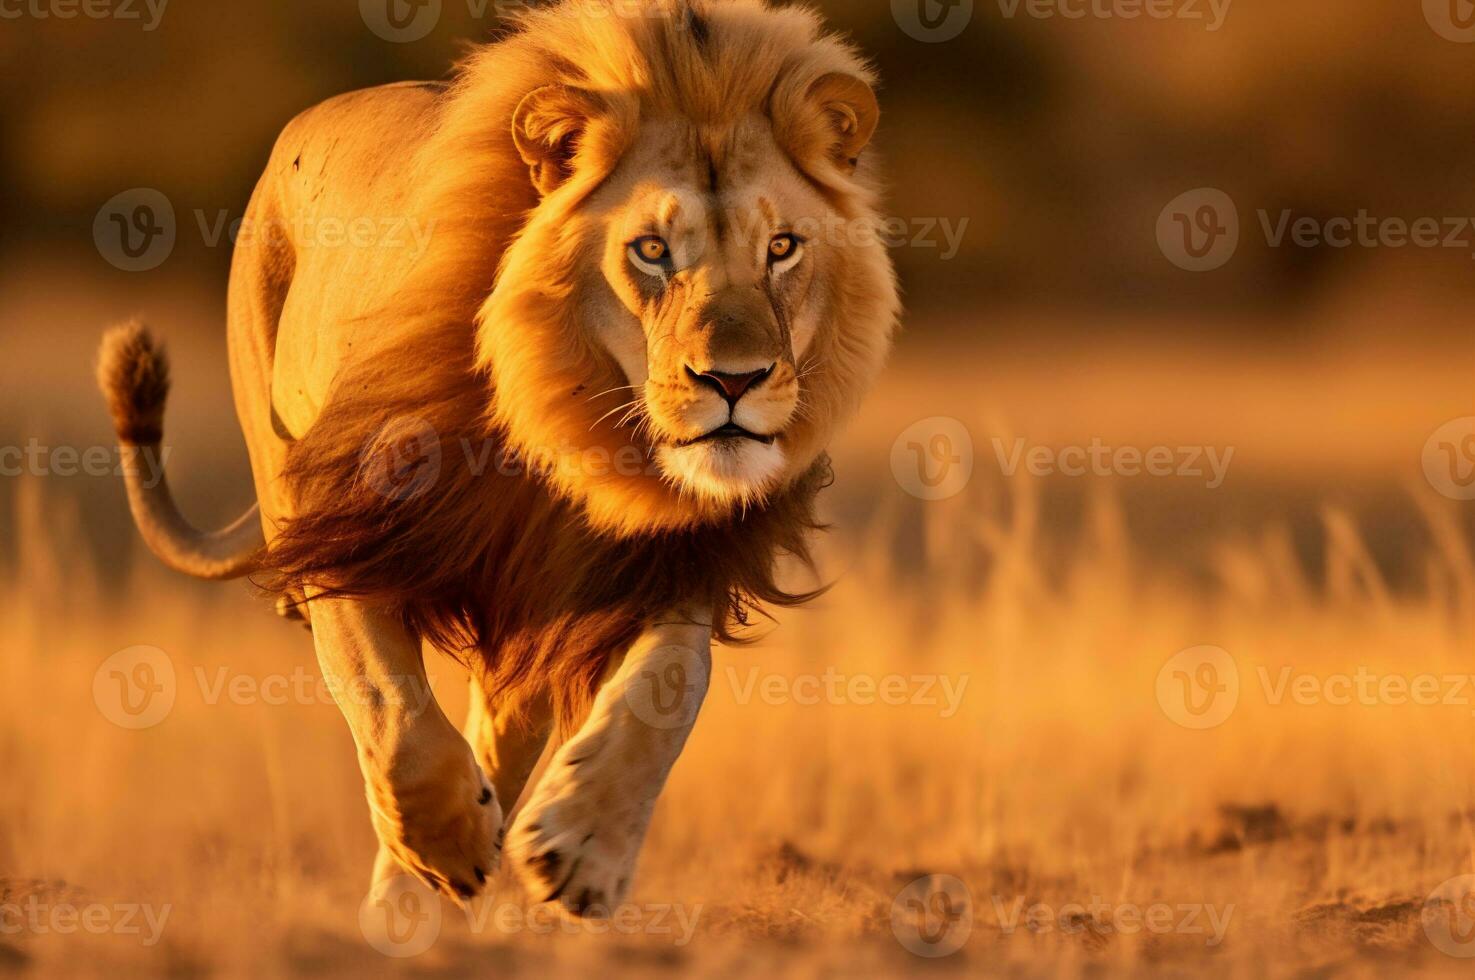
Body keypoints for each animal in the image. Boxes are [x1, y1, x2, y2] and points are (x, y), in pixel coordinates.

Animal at [98, 0, 896, 920]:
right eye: (651, 251)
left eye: (783, 248)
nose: (733, 381)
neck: (565, 426)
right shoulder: (344, 528)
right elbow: (391, 711)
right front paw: (444, 845)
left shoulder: (663, 560)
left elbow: (670, 687)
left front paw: (582, 846)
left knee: (504, 731)